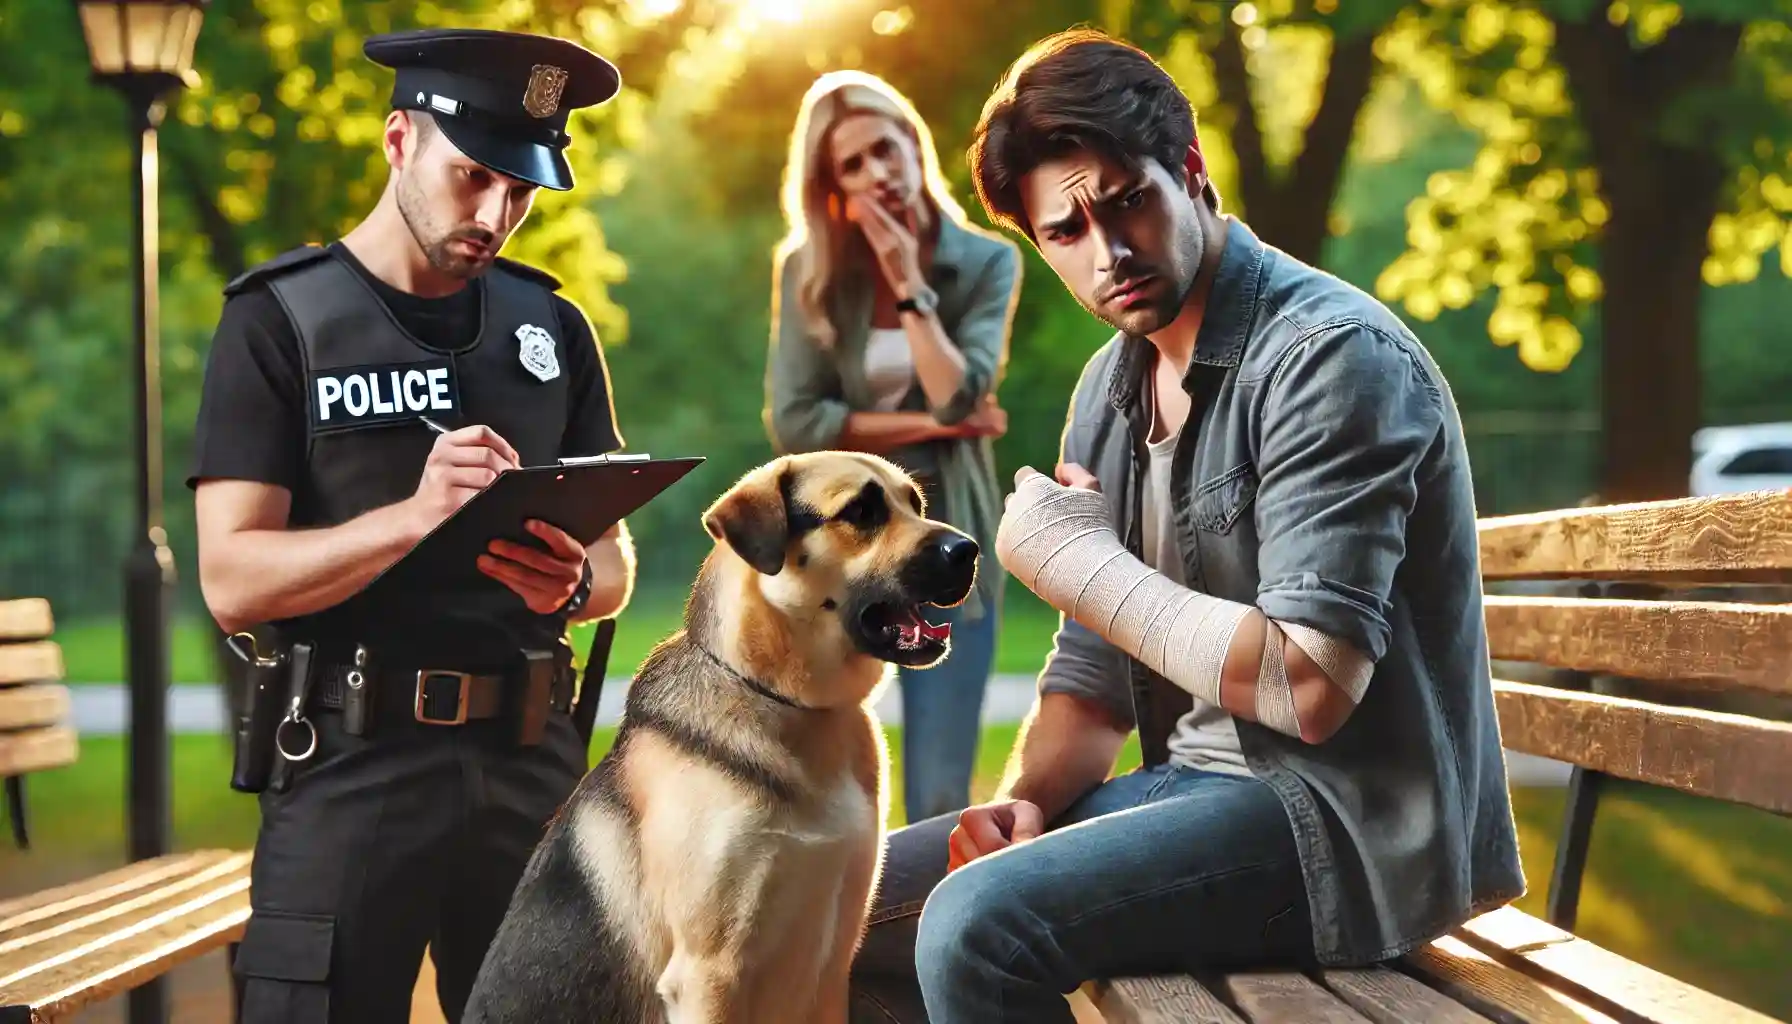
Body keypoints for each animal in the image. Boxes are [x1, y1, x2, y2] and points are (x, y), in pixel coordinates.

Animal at [462, 451, 982, 1018]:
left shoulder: (832, 967)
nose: (970, 550)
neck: (789, 702)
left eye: (915, 504)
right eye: (861, 512)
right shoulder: (709, 972)